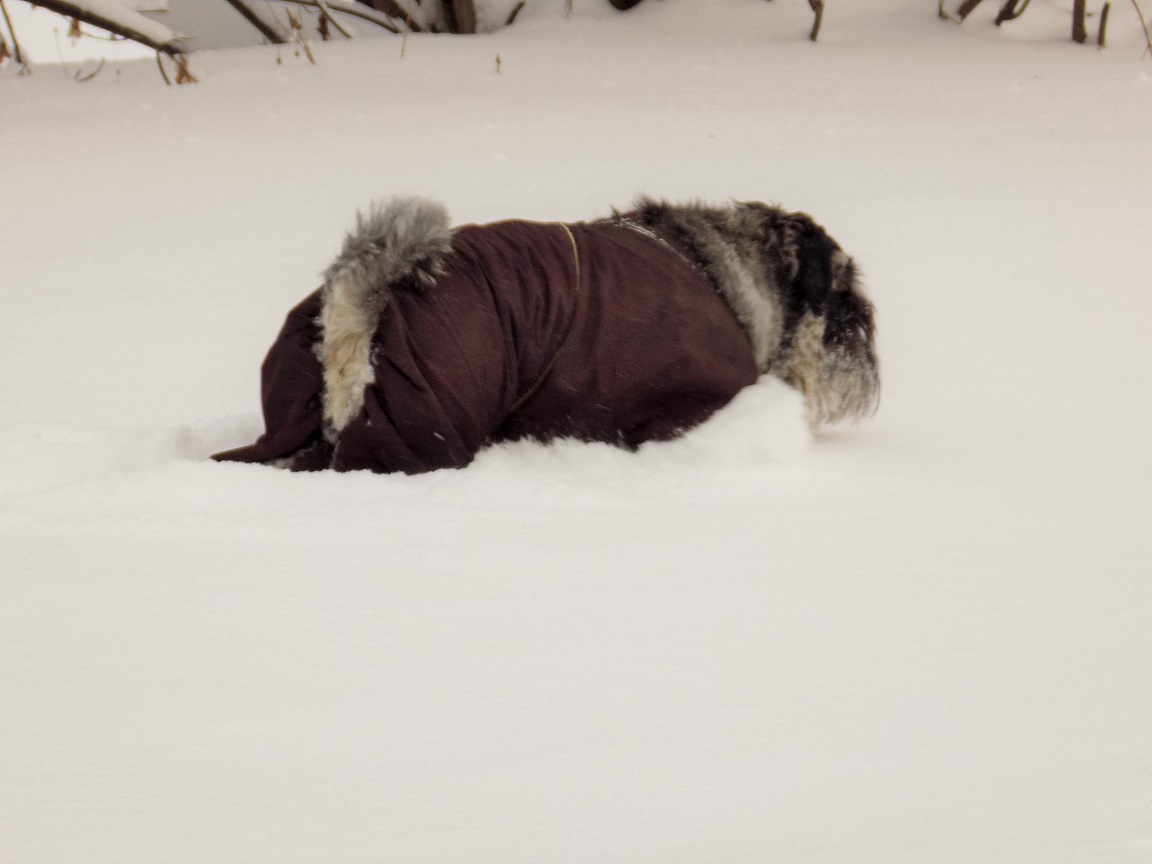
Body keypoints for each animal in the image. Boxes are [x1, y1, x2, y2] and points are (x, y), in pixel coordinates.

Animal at [213, 197, 878, 473]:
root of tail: (354, 309)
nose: (867, 372)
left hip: (299, 426)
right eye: (846, 298)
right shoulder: (682, 411)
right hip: (417, 434)